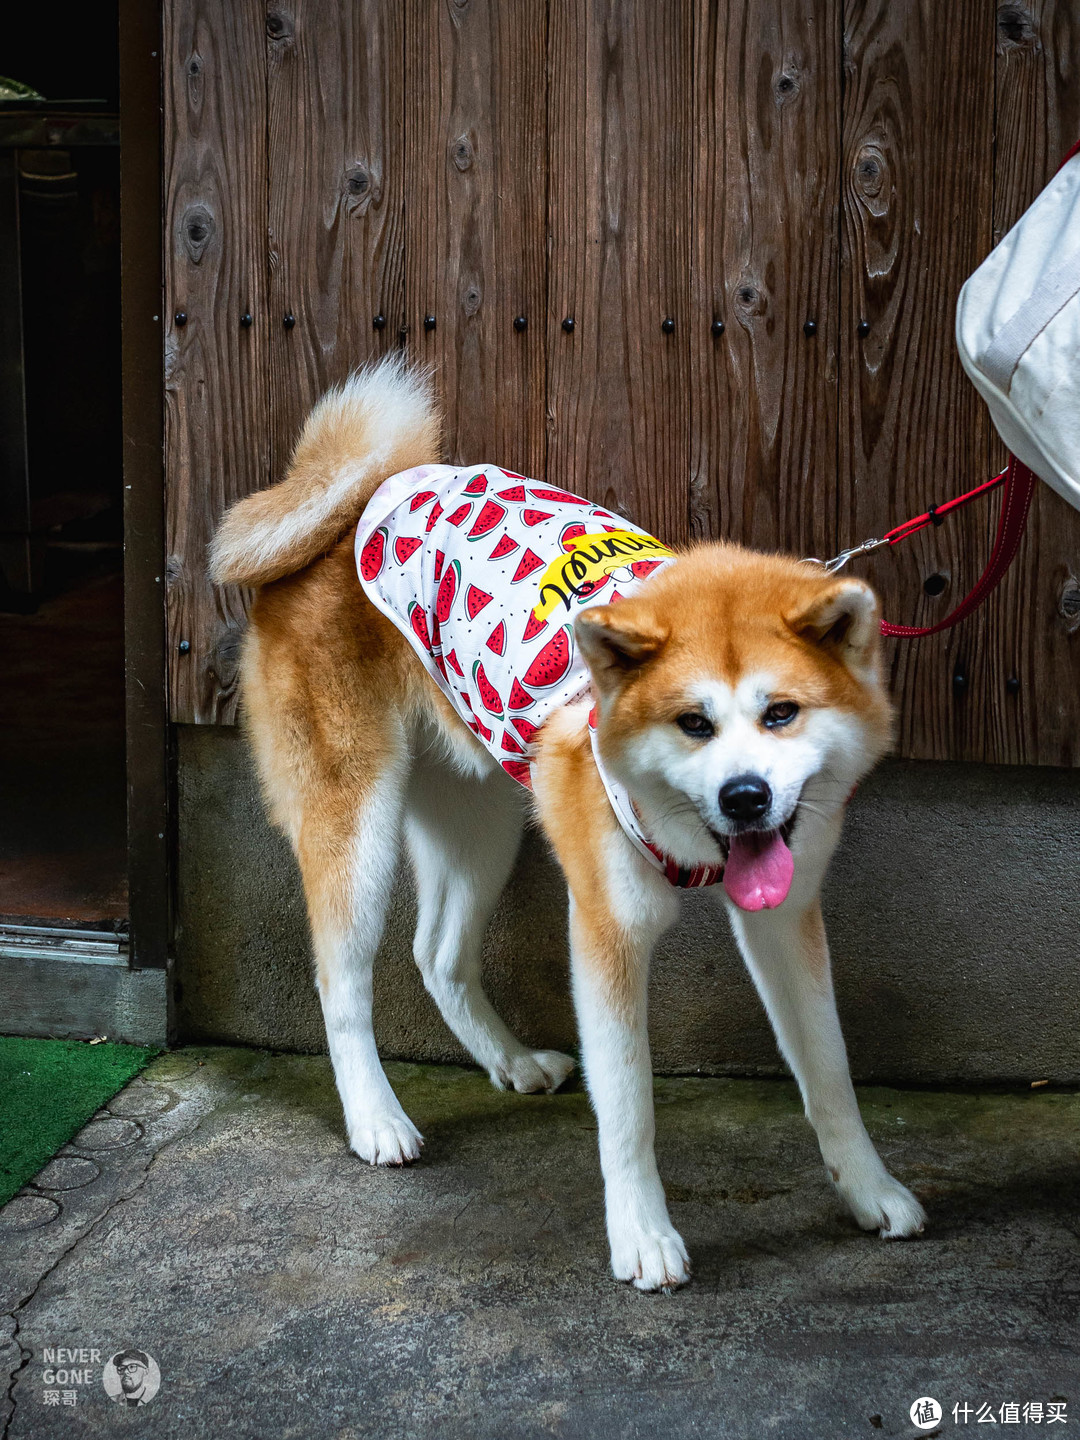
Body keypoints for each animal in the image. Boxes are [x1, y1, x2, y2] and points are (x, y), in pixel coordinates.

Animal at [213, 354, 933, 1290]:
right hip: (357, 824)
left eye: (782, 714)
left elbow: (831, 1071)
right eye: (692, 723)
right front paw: (643, 1237)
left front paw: (871, 1189)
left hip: (482, 820)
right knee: (342, 982)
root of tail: (358, 496)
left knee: (437, 955)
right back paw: (376, 1119)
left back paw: (509, 1061)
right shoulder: (608, 928)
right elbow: (628, 1109)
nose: (744, 797)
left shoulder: (786, 917)